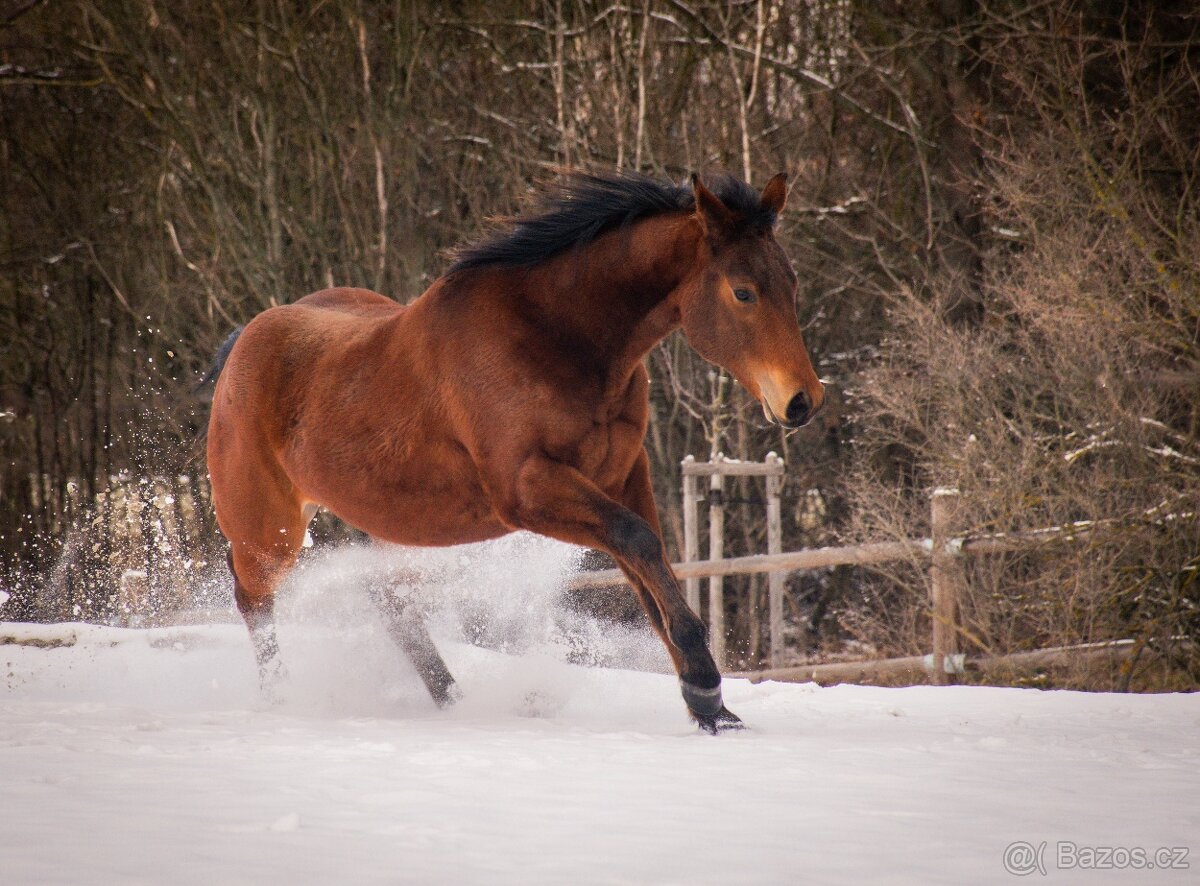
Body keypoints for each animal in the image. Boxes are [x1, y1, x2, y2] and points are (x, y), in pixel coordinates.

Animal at [206, 169, 825, 729]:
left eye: (793, 283)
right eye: (743, 292)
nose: (803, 401)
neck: (555, 339)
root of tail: (242, 344)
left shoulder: (623, 477)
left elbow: (646, 570)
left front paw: (711, 706)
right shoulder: (527, 490)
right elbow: (638, 544)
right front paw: (703, 687)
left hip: (371, 522)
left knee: (392, 605)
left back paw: (453, 701)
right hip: (270, 531)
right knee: (254, 598)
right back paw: (282, 698)